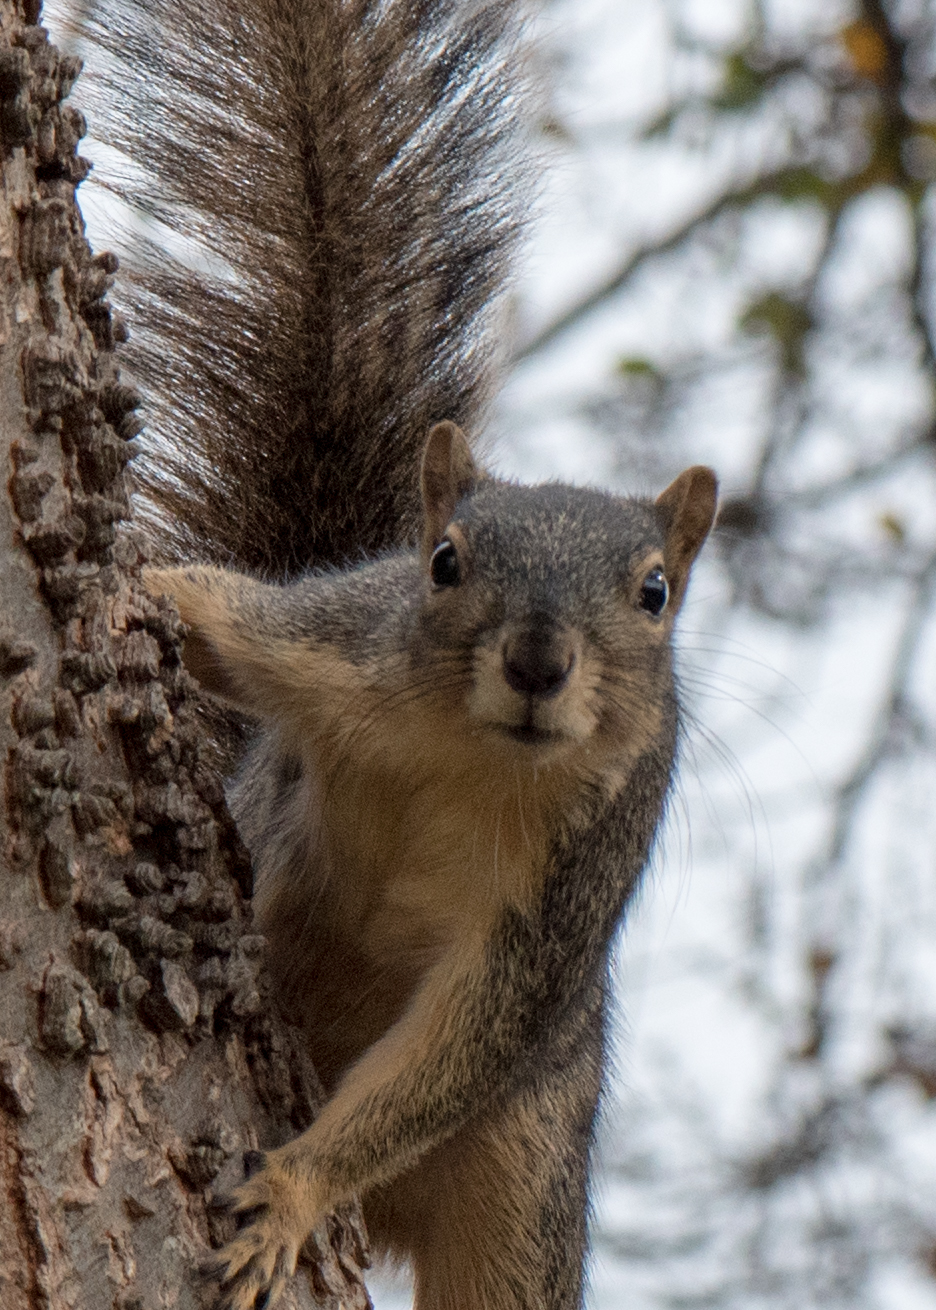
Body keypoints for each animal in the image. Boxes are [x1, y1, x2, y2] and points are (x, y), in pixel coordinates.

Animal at [77, 0, 719, 1307]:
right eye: (443, 562)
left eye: (655, 592)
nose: (537, 662)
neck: (472, 757)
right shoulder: (331, 651)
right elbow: (215, 617)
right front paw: (139, 580)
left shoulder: (565, 894)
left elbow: (459, 1042)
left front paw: (294, 1189)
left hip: (527, 1174)